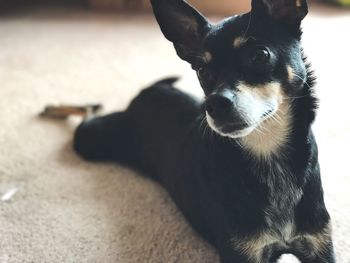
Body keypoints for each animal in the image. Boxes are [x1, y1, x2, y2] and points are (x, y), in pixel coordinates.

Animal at [72, 0, 336, 262]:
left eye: (259, 55)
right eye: (202, 71)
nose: (214, 104)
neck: (268, 155)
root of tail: (145, 93)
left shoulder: (319, 244)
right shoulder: (242, 252)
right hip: (91, 140)